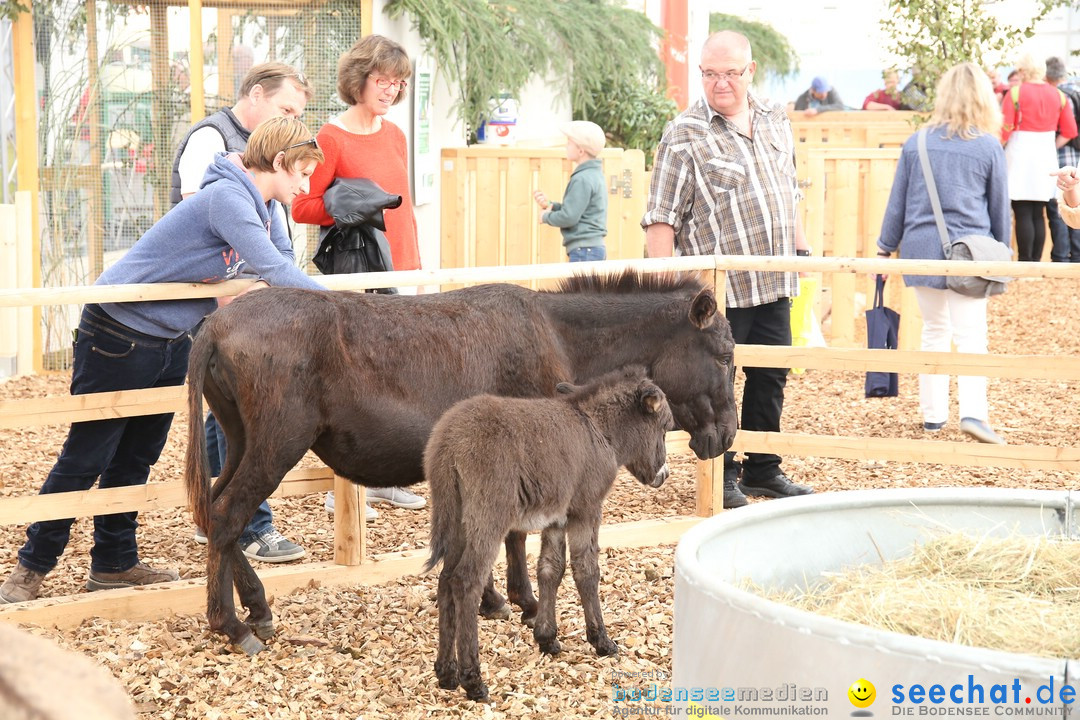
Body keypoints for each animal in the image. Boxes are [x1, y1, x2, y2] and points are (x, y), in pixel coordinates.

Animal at [423, 369, 669, 699]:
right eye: (664, 427)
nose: (663, 476)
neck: (598, 430)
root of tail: (449, 439)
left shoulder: (557, 517)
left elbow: (550, 570)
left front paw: (546, 638)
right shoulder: (586, 509)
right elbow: (586, 570)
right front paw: (601, 641)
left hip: (456, 518)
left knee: (446, 580)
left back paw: (446, 673)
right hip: (488, 516)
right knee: (466, 581)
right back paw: (473, 680)